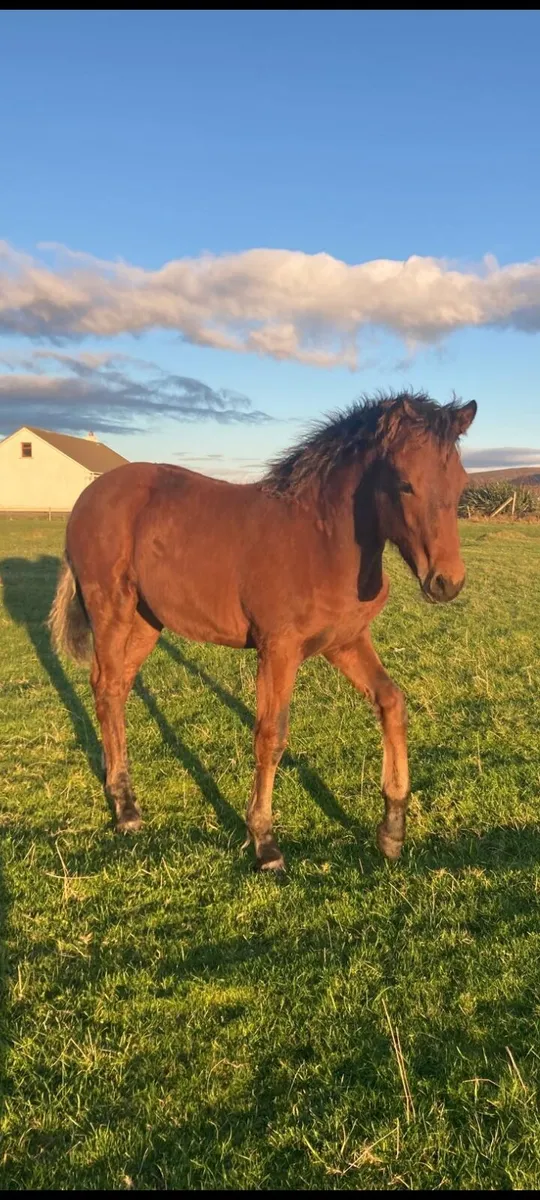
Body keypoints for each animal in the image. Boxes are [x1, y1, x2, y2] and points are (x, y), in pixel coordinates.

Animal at [48, 390, 477, 870]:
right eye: (405, 483)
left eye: (461, 483)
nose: (446, 582)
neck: (322, 541)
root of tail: (90, 494)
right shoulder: (278, 649)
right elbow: (271, 735)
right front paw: (264, 841)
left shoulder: (346, 641)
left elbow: (392, 703)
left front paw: (392, 831)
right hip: (111, 609)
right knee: (105, 688)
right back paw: (124, 808)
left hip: (146, 621)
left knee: (118, 687)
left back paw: (120, 788)